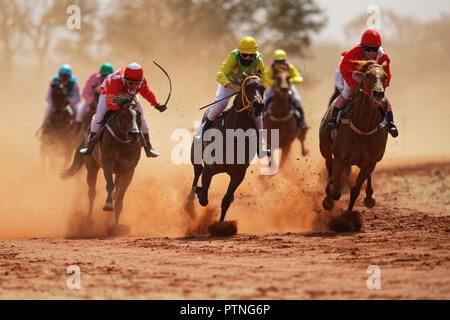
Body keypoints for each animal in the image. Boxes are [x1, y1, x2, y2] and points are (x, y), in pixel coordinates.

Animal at [62, 96, 142, 234]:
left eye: (139, 115)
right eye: (123, 115)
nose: (134, 134)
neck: (122, 143)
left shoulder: (128, 170)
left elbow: (120, 198)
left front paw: (115, 226)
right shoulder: (107, 163)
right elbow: (109, 185)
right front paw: (108, 205)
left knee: (115, 191)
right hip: (92, 165)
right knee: (92, 192)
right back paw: (88, 221)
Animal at [188, 75, 266, 235]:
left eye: (263, 87)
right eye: (247, 87)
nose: (259, 105)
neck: (234, 136)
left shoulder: (238, 175)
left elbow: (226, 200)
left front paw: (221, 226)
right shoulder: (209, 169)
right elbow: (204, 196)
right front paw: (199, 191)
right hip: (195, 156)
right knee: (197, 171)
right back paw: (191, 200)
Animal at [320, 60, 390, 230]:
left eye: (385, 76)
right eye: (367, 75)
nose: (378, 94)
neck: (363, 127)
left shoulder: (371, 161)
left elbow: (355, 191)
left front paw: (347, 218)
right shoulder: (340, 157)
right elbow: (336, 190)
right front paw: (329, 201)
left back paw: (369, 198)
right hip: (325, 150)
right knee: (329, 164)